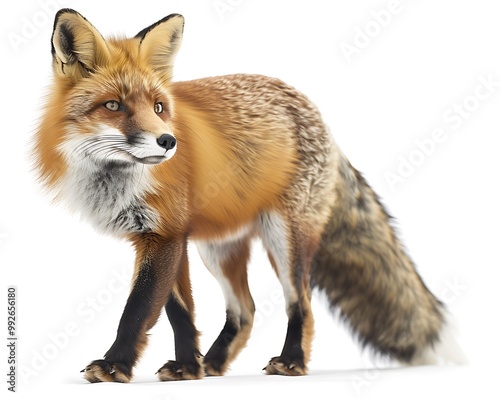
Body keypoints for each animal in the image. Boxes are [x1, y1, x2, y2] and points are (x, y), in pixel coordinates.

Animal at [35, 9, 462, 382]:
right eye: (113, 105)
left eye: (158, 107)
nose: (168, 141)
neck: (115, 180)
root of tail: (314, 112)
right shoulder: (164, 237)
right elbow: (179, 313)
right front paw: (188, 367)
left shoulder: (165, 236)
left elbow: (137, 311)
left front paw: (114, 366)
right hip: (218, 249)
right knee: (246, 311)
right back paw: (213, 363)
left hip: (285, 240)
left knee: (300, 304)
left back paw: (291, 362)